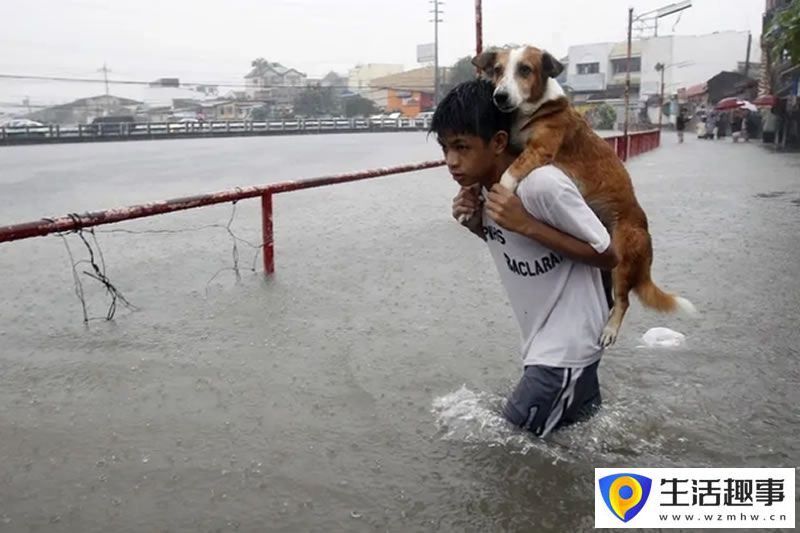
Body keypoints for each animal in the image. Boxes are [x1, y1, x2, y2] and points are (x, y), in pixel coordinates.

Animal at [468, 44, 692, 344]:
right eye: (497, 70)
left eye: (525, 70)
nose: (500, 97)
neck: (534, 110)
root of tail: (646, 234)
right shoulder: (516, 146)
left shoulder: (539, 150)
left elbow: (507, 175)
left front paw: (500, 194)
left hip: (622, 259)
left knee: (624, 301)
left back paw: (610, 330)